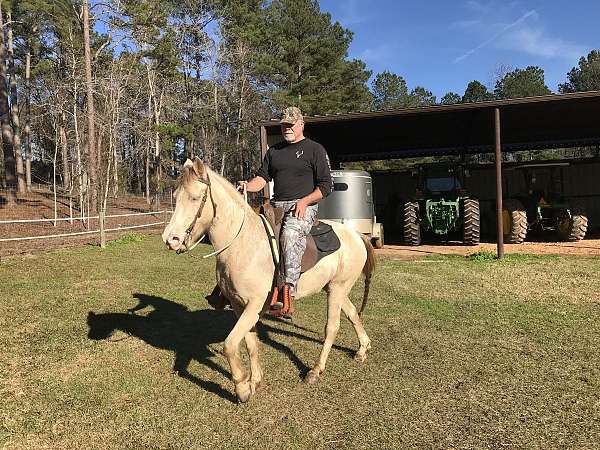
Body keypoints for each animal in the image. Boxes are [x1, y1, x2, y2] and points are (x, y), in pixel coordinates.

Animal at [162, 156, 372, 402]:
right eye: (176, 197)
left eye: (195, 198)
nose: (170, 239)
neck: (242, 244)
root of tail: (356, 236)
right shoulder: (239, 305)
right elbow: (251, 343)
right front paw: (255, 381)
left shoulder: (254, 304)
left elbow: (230, 345)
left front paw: (242, 388)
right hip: (334, 288)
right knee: (352, 313)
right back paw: (362, 349)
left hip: (338, 289)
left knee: (332, 327)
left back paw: (315, 371)